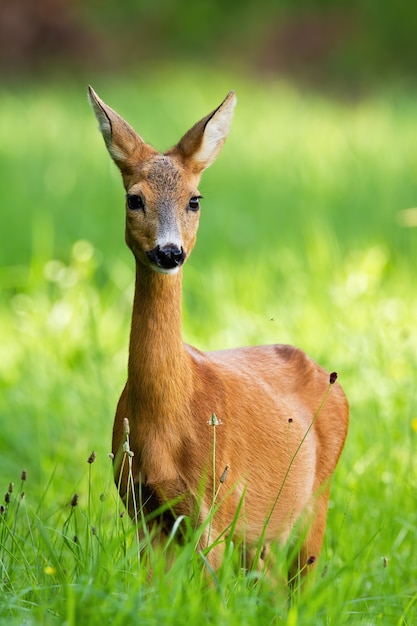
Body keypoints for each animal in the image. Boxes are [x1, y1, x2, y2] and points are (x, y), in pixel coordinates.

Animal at [88, 85, 348, 576]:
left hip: (316, 501)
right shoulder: (143, 510)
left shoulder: (216, 508)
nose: (169, 252)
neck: (169, 419)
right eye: (134, 199)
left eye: (195, 199)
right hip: (261, 536)